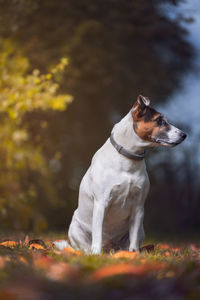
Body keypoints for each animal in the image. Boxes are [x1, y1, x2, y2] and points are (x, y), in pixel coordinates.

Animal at [55, 95, 187, 253]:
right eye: (159, 120)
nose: (184, 135)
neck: (127, 161)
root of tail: (109, 247)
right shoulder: (101, 203)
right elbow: (97, 234)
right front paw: (96, 254)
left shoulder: (138, 207)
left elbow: (134, 239)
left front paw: (134, 254)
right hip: (75, 228)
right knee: (86, 246)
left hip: (141, 230)